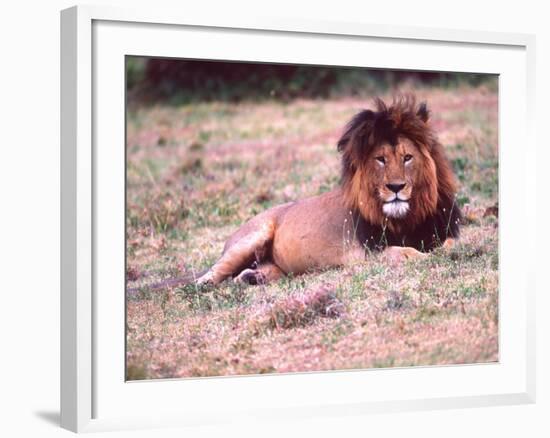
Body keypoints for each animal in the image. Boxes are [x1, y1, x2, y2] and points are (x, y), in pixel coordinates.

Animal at [196, 95, 464, 288]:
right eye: (380, 159)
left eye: (407, 157)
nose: (396, 187)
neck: (407, 217)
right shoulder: (366, 254)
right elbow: (403, 252)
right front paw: (426, 257)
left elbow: (452, 243)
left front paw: (446, 251)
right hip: (252, 237)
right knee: (214, 271)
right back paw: (204, 285)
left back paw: (252, 278)